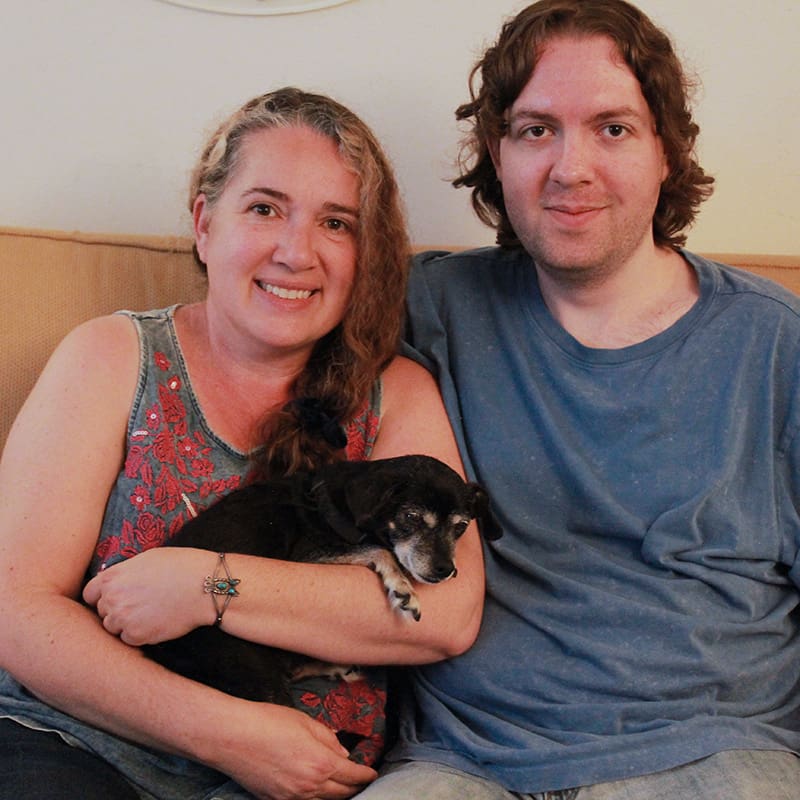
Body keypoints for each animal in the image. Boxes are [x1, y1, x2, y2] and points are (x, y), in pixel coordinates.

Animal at [143, 454, 500, 706]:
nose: (445, 569)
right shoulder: (306, 556)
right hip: (256, 678)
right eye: (411, 517)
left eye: (462, 526)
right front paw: (401, 587)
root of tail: (155, 650)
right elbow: (377, 549)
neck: (346, 504)